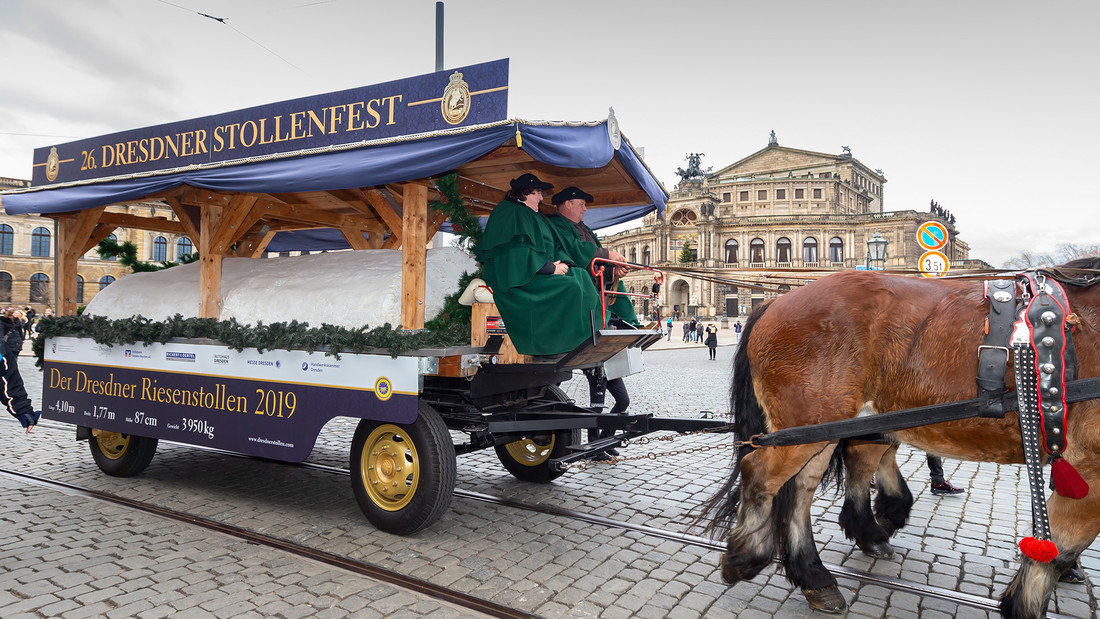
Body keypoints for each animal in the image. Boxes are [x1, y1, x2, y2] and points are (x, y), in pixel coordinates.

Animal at [704, 259, 1100, 615]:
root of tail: (776, 300)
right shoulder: (1089, 470)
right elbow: (1056, 552)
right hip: (808, 426)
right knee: (760, 472)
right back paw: (747, 555)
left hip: (825, 427)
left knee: (801, 489)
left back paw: (816, 576)